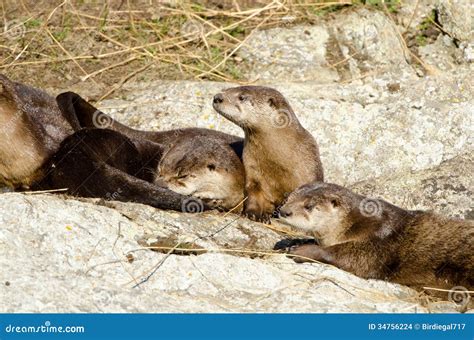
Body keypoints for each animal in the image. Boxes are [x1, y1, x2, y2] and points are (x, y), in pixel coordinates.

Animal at [213, 86, 324, 222]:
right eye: (226, 89)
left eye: (242, 97)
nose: (217, 97)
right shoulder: (252, 170)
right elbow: (253, 194)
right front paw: (254, 214)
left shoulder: (309, 170)